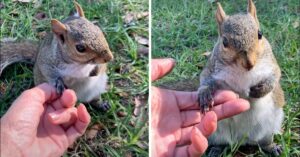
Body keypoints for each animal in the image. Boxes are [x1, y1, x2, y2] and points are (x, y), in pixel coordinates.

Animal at [198, 0, 284, 156]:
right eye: (224, 42)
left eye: (260, 34)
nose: (249, 63)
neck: (244, 72)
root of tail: (242, 139)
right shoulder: (212, 69)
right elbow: (205, 79)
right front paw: (205, 95)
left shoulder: (271, 64)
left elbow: (275, 76)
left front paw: (261, 90)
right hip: (216, 131)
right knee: (222, 142)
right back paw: (216, 149)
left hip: (269, 127)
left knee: (264, 142)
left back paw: (272, 147)